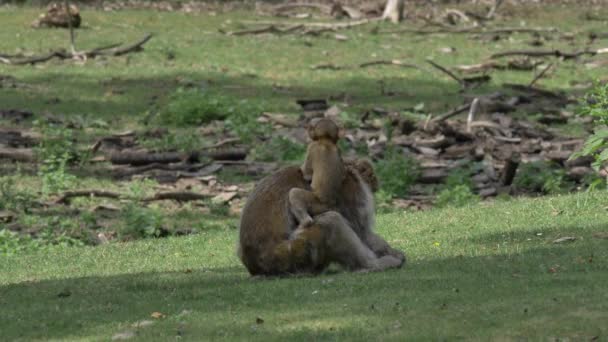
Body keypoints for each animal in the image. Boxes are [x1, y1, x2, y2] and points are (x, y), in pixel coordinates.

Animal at [238, 158, 404, 276]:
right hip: (295, 253)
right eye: (371, 175)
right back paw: (372, 265)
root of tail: (257, 267)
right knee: (330, 220)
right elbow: (362, 232)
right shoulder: (351, 189)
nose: (376, 183)